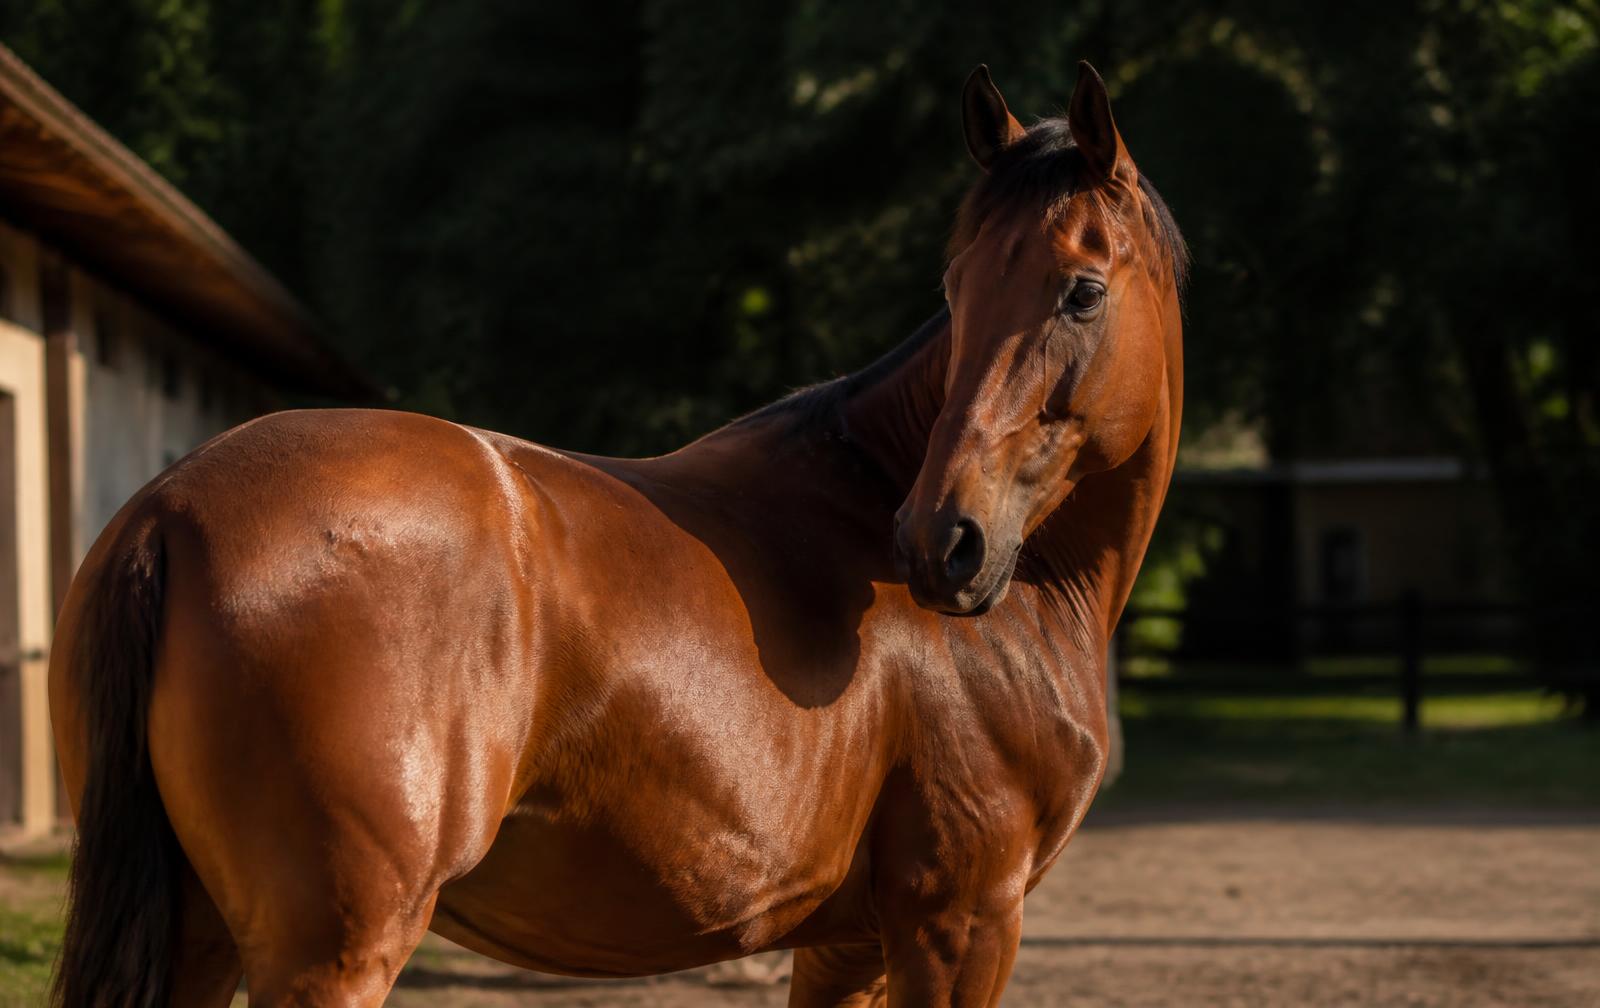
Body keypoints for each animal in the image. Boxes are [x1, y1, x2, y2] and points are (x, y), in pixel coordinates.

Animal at [49, 62, 1185, 1007]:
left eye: (1082, 290)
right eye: (956, 290)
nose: (941, 541)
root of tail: (170, 510)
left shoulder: (846, 947)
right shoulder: (960, 927)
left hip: (201, 937)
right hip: (329, 955)